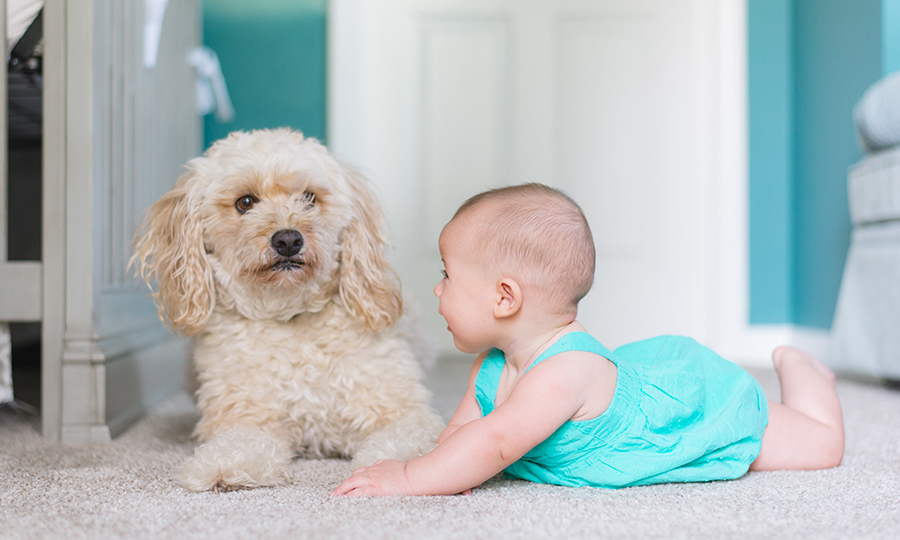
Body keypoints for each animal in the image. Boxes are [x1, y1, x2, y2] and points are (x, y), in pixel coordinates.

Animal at [131, 129, 442, 492]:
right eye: (245, 202)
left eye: (309, 197)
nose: (288, 240)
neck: (290, 315)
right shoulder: (246, 416)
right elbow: (241, 442)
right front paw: (224, 465)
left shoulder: (401, 411)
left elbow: (405, 441)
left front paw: (394, 469)